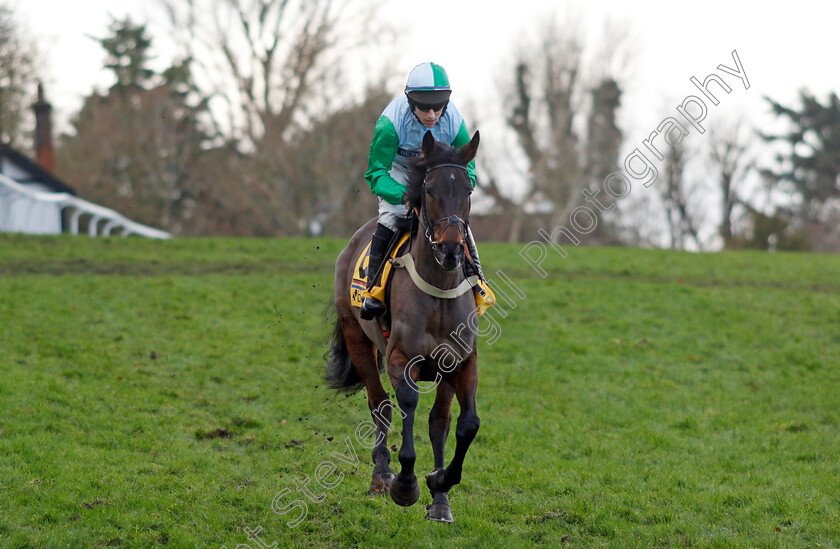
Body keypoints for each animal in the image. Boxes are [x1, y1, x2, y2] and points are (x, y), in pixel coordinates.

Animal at [324, 130, 482, 524]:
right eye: (430, 190)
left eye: (468, 190)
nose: (451, 249)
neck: (439, 294)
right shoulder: (400, 359)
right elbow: (405, 403)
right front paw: (406, 484)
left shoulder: (461, 361)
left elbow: (462, 423)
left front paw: (440, 485)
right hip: (356, 338)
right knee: (379, 403)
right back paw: (381, 476)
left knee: (438, 420)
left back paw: (438, 499)